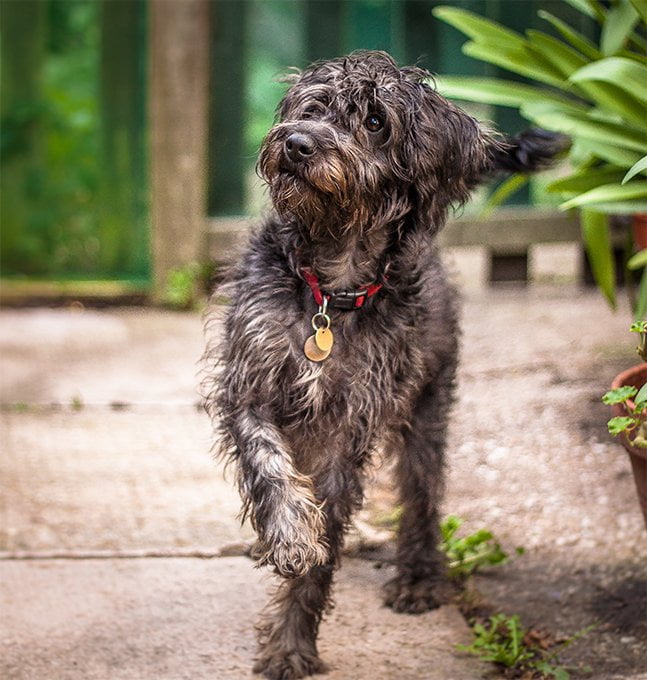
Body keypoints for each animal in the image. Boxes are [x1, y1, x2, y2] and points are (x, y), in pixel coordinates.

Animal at [202, 50, 560, 676]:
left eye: (374, 122)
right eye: (313, 107)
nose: (297, 142)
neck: (332, 286)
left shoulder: (352, 424)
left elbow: (327, 538)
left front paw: (291, 641)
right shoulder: (250, 384)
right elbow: (269, 466)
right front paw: (290, 533)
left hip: (427, 411)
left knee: (423, 497)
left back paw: (418, 577)